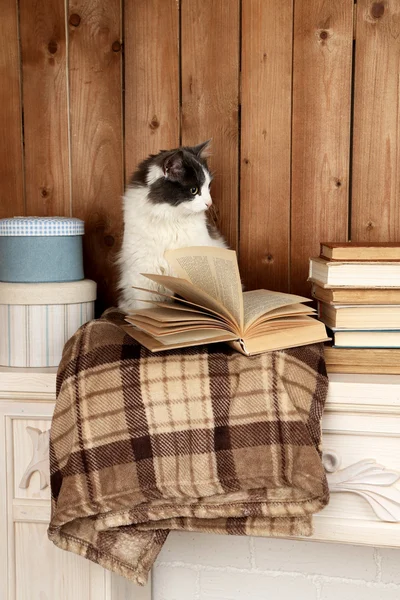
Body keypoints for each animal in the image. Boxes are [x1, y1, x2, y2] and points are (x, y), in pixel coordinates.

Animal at [117, 139, 227, 310]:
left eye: (208, 187)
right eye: (194, 190)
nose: (209, 203)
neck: (170, 219)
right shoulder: (142, 272)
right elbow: (146, 309)